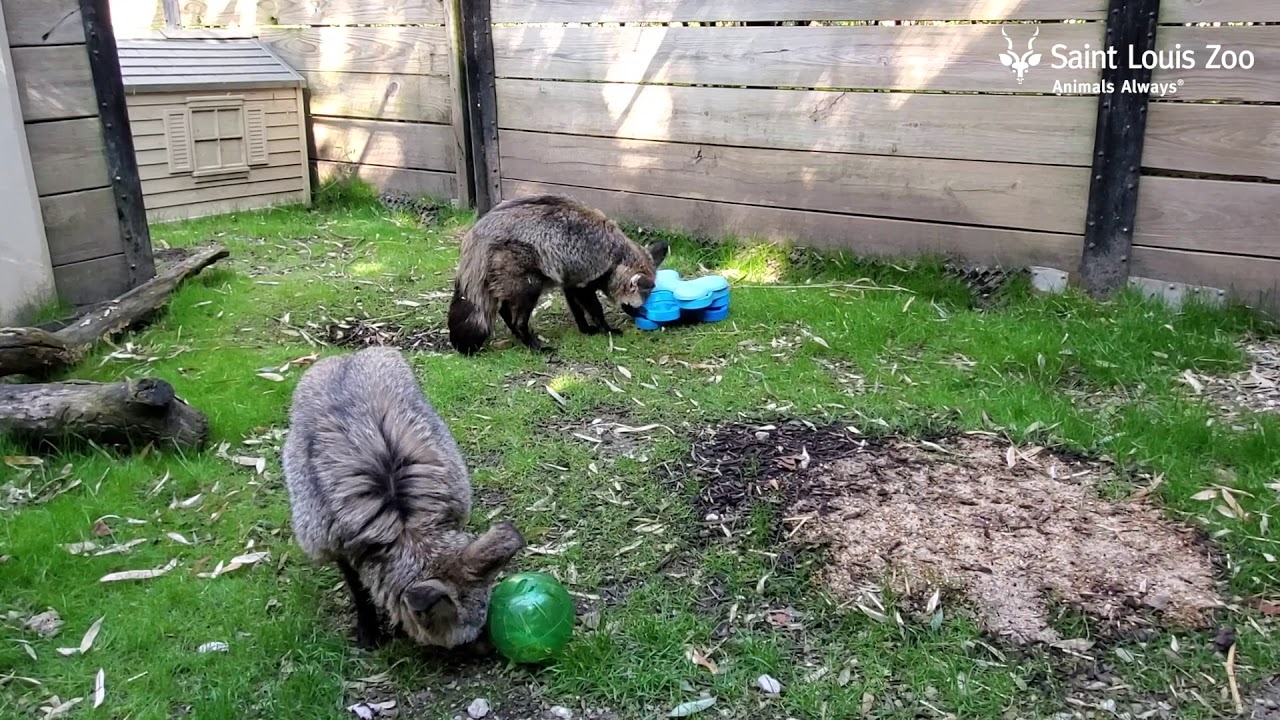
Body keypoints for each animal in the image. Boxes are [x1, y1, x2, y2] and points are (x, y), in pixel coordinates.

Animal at [280, 346, 525, 650]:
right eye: (463, 641)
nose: (494, 649)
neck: (403, 522)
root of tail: (348, 355)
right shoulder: (333, 545)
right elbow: (358, 589)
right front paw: (368, 630)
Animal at [447, 194, 669, 355]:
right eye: (637, 305)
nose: (640, 314)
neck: (619, 256)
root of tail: (477, 235)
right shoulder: (587, 275)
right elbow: (593, 307)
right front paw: (605, 326)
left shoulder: (571, 278)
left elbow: (576, 306)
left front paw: (584, 327)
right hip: (524, 277)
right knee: (518, 313)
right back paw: (528, 339)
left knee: (504, 307)